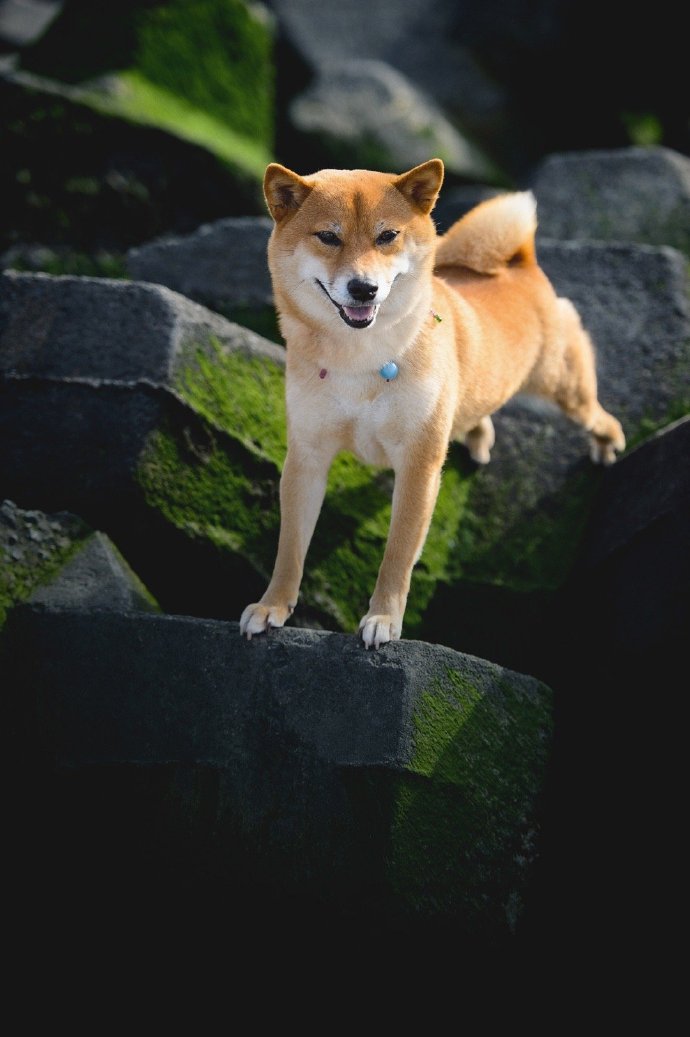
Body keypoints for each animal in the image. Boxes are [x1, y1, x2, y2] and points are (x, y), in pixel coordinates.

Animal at [240, 158, 625, 648]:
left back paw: (607, 443)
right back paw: (477, 434)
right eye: (328, 236)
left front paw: (384, 618)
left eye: (387, 236)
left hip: (562, 390)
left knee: (599, 415)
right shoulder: (307, 457)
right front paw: (272, 606)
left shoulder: (418, 466)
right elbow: (290, 547)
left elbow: (398, 555)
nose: (363, 289)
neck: (359, 358)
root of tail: (521, 265)